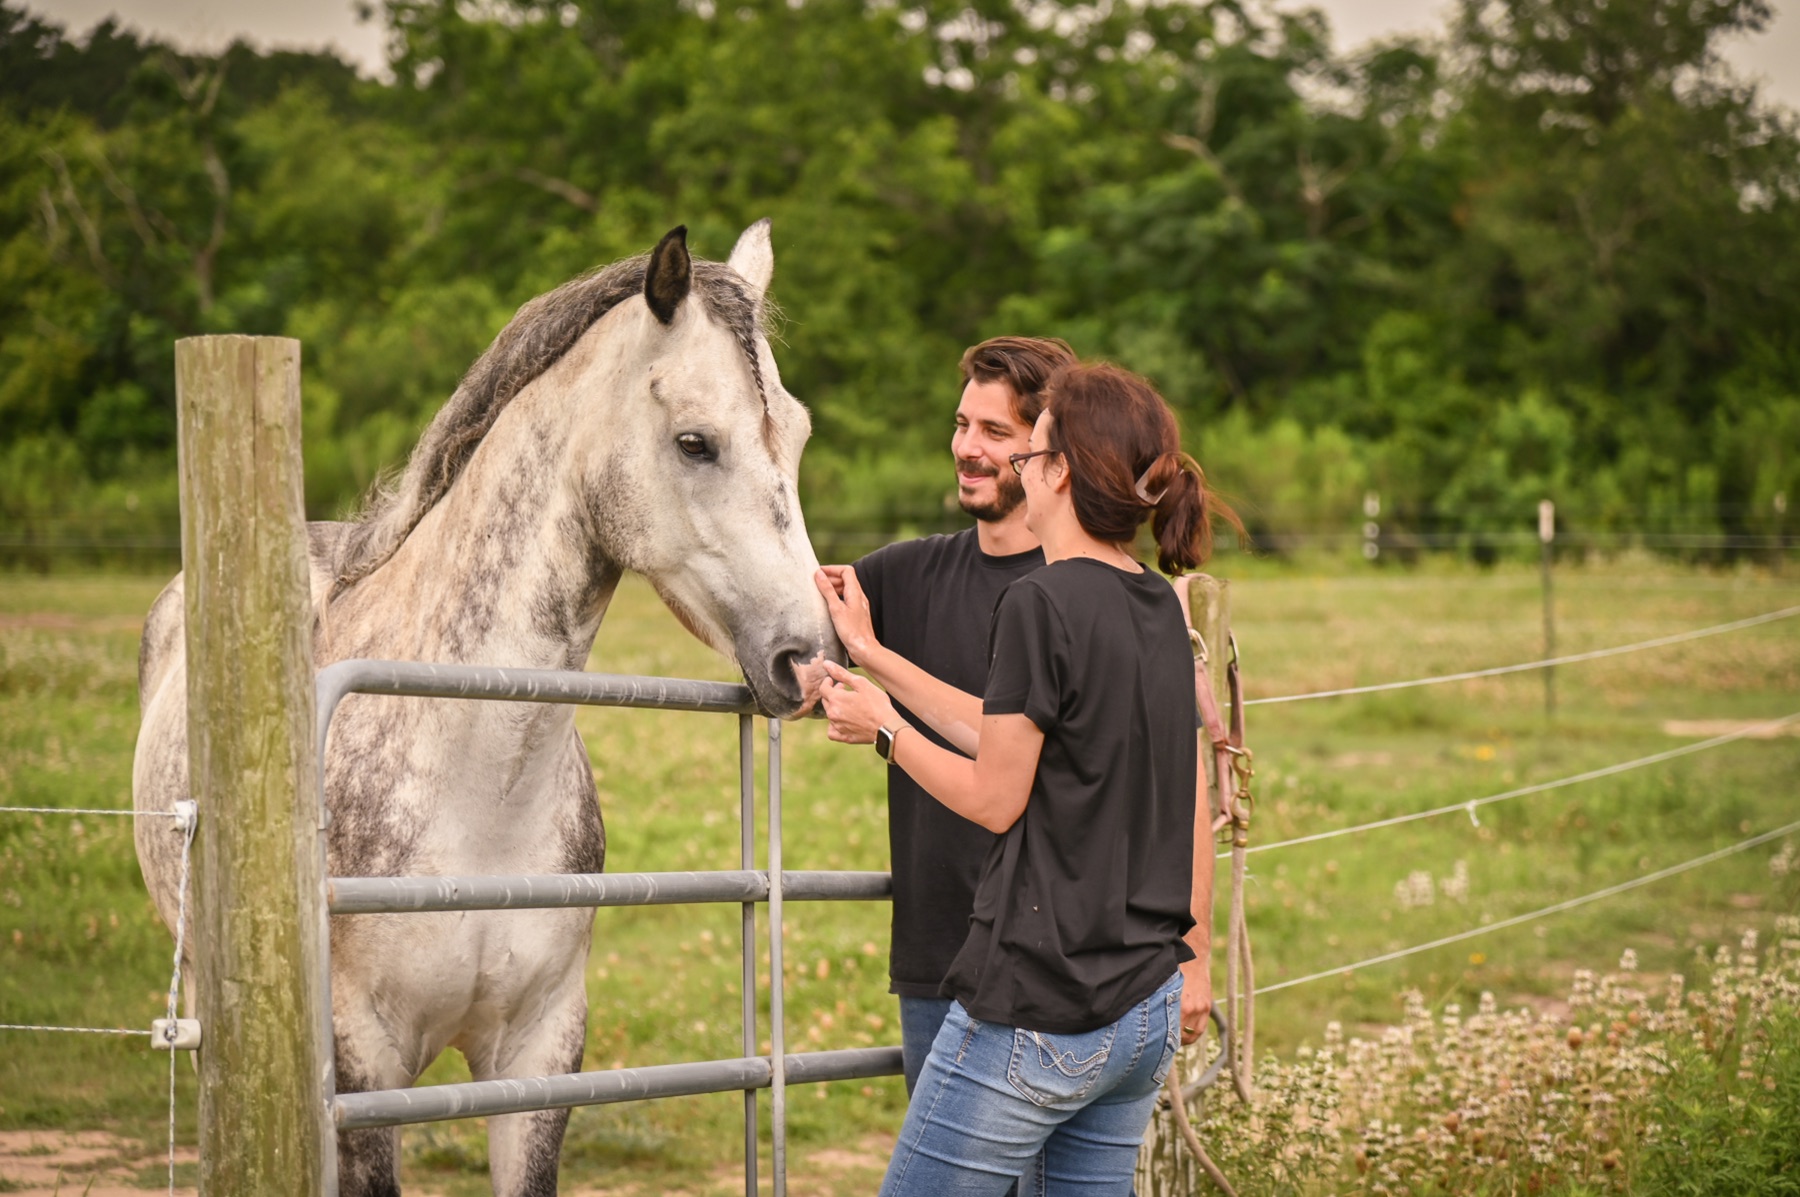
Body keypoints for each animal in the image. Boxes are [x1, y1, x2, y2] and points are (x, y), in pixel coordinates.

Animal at [132, 222, 840, 1196]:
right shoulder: (364, 1070)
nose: (809, 657)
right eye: (696, 441)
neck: (473, 786)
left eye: (798, 434)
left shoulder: (540, 1055)